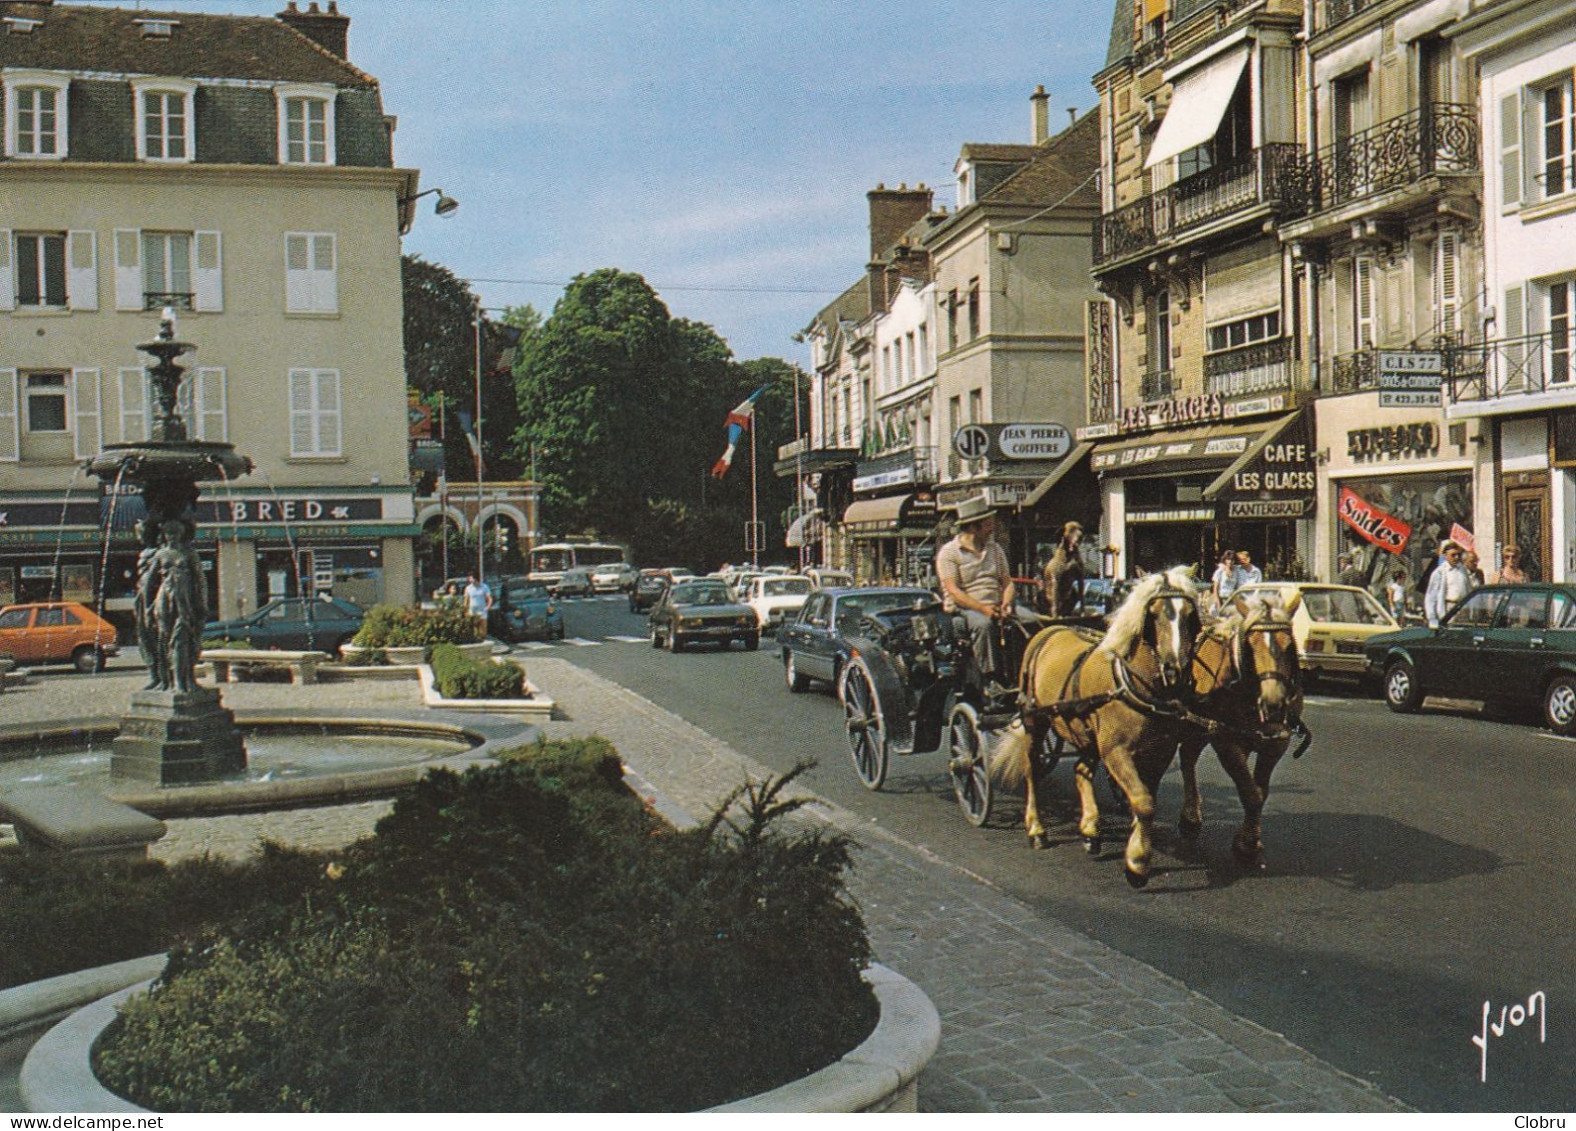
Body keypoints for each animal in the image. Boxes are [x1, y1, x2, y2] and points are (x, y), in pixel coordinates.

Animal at [996, 570, 1204, 888]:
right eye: (1154, 614)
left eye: (1190, 614)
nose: (1175, 670)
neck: (1136, 685)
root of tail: (1046, 631)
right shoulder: (1115, 751)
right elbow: (1143, 802)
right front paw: (1137, 864)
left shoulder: (1160, 751)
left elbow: (1146, 799)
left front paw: (1133, 847)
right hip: (1035, 722)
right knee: (1031, 770)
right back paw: (1036, 829)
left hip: (1087, 735)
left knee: (1080, 769)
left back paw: (1090, 829)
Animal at [1178, 592, 1311, 869]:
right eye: (1251, 645)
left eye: (1289, 646)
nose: (1273, 703)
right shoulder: (1225, 740)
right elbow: (1249, 792)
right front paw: (1247, 845)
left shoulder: (1274, 743)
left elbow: (1259, 791)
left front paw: (1248, 838)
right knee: (1187, 757)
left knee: (1188, 756)